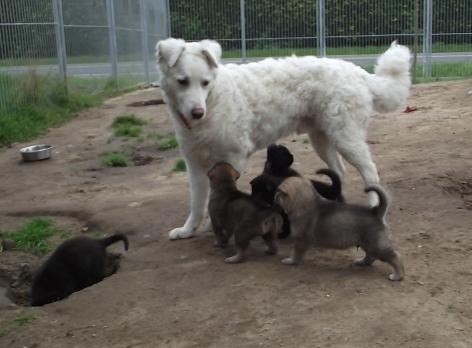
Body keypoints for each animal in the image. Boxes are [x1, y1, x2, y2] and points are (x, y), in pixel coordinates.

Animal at [155, 38, 410, 239]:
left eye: (205, 82)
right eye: (182, 81)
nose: (197, 112)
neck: (213, 100)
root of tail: (358, 72)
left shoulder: (232, 157)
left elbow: (223, 194)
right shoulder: (194, 164)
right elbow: (197, 203)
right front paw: (187, 230)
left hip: (346, 138)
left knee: (370, 171)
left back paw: (377, 211)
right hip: (322, 139)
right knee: (338, 172)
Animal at [274, 178, 404, 282]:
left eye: (279, 192)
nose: (274, 196)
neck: (304, 202)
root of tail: (375, 212)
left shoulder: (301, 239)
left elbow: (296, 252)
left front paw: (290, 261)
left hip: (375, 245)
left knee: (395, 256)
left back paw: (397, 276)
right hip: (367, 243)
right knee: (371, 256)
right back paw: (362, 262)